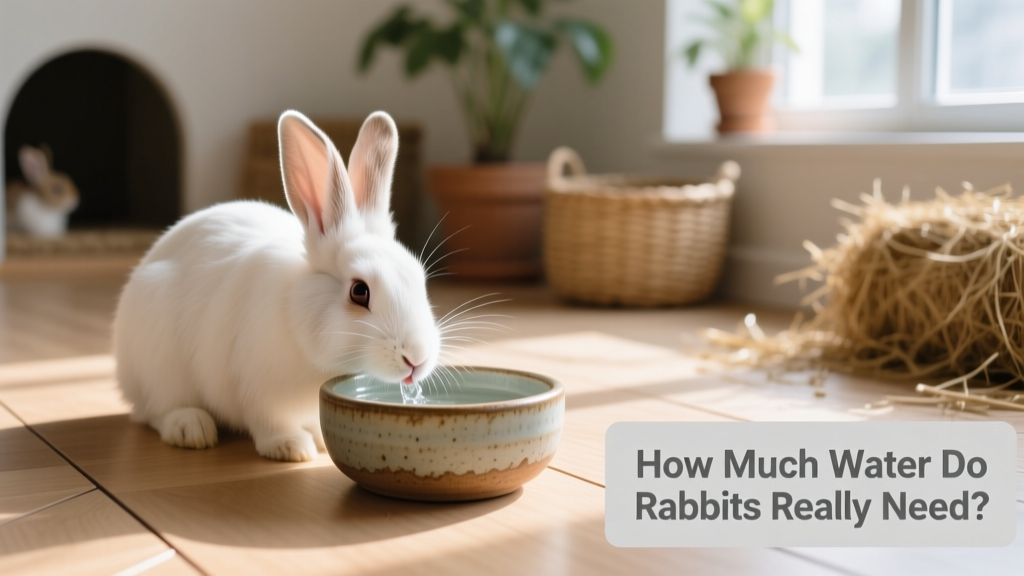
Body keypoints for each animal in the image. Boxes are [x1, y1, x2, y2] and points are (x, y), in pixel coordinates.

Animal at [112, 110, 440, 462]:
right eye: (359, 291)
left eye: (419, 278)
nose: (417, 358)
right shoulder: (257, 387)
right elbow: (269, 422)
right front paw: (292, 448)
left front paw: (318, 441)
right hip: (159, 363)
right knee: (155, 411)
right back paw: (191, 428)